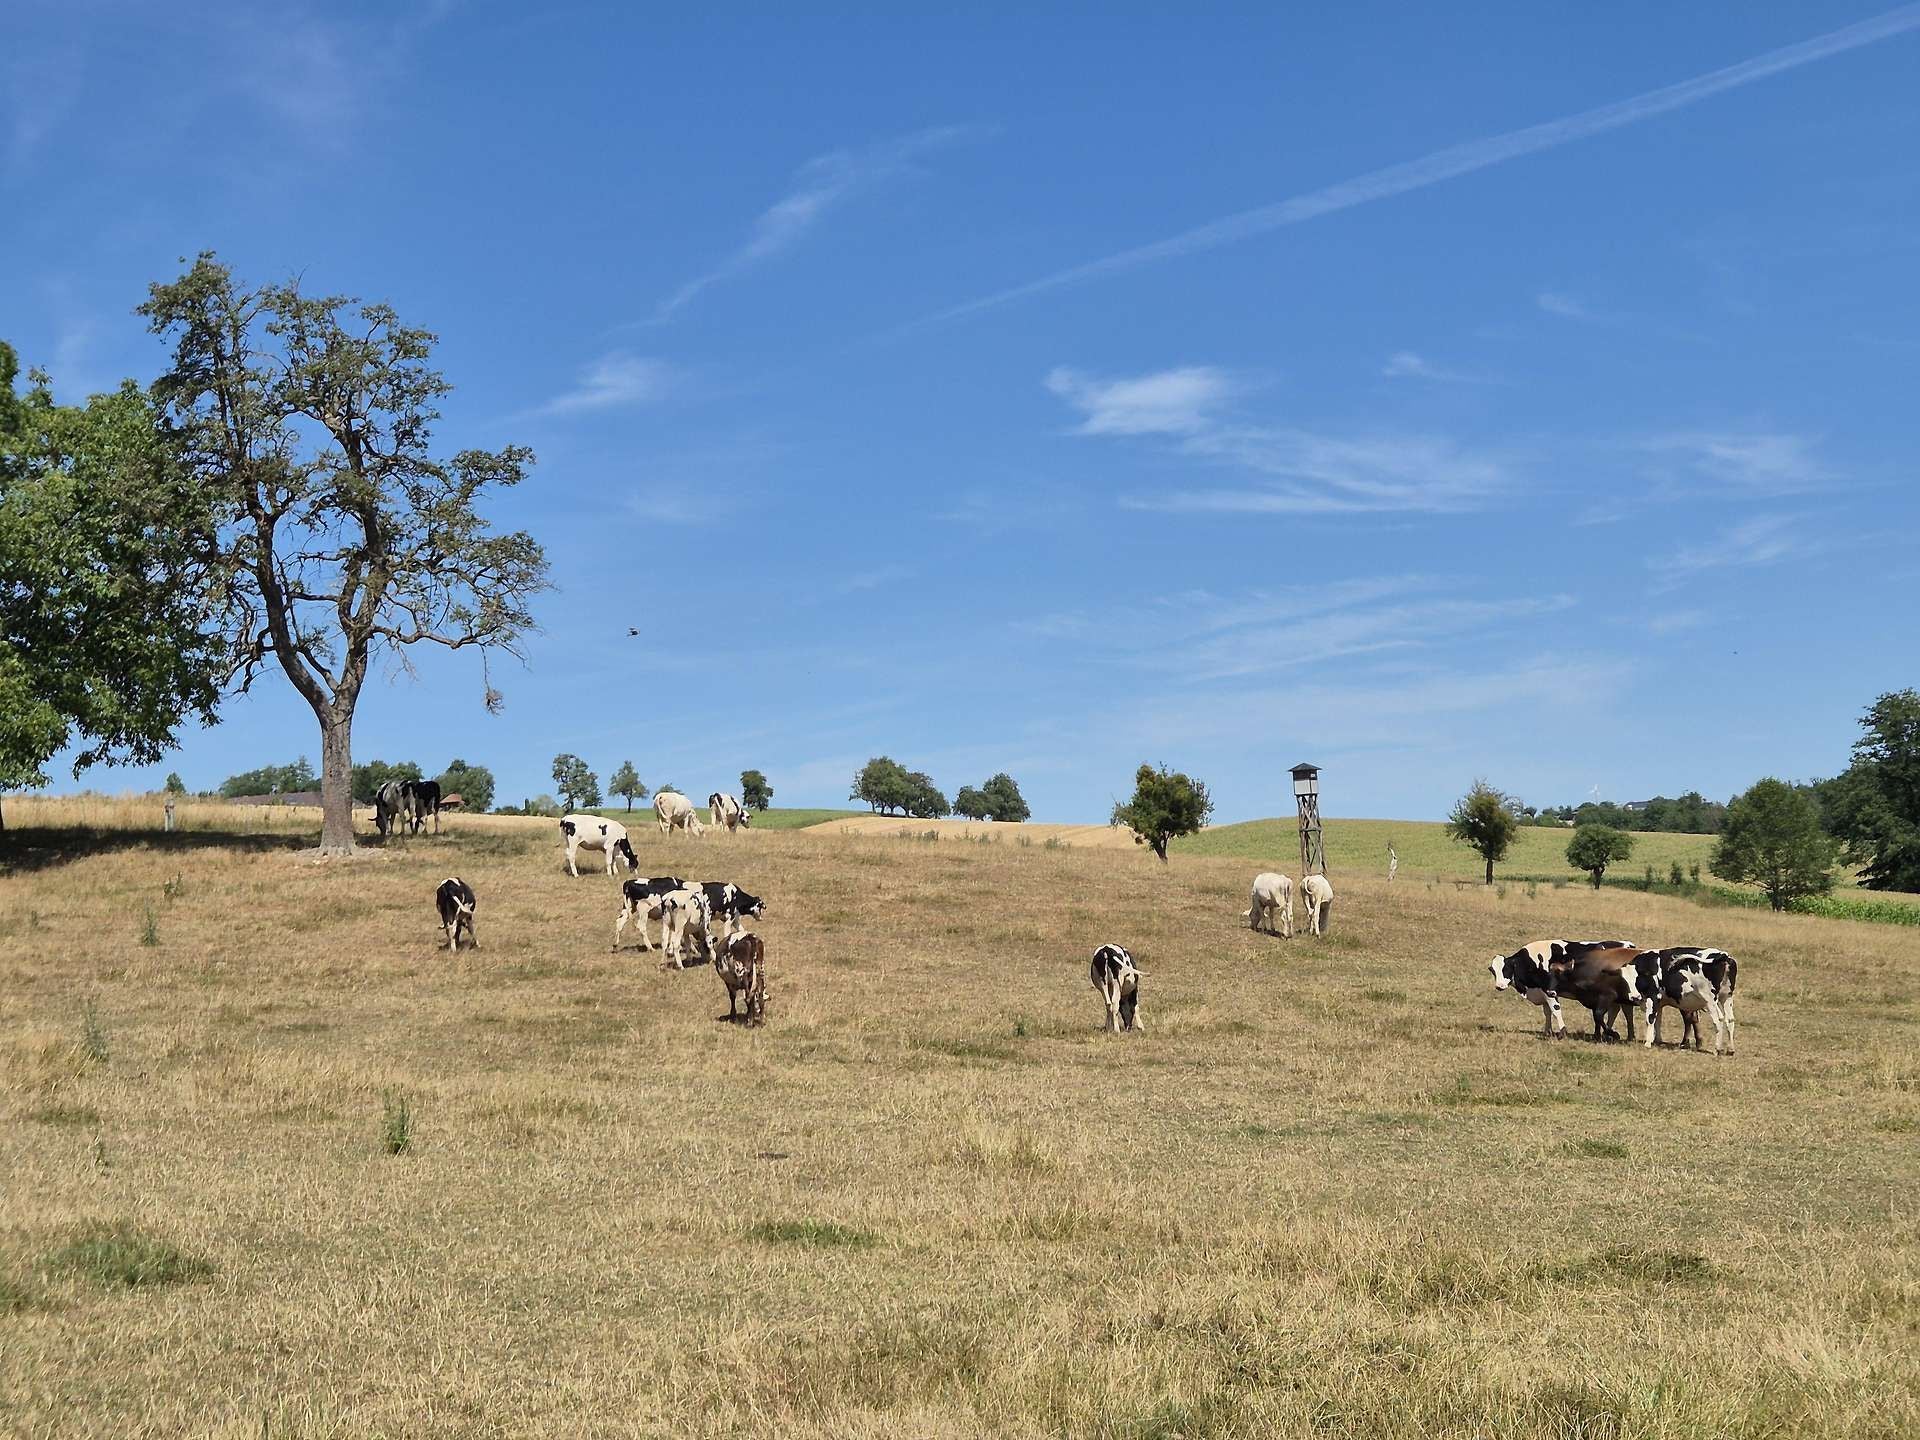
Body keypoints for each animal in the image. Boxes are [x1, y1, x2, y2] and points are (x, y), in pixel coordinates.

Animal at [1488, 939, 1636, 1039]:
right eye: (1493, 971)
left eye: (1506, 969)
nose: (1499, 986)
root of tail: (1628, 945)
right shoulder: (1543, 992)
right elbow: (1547, 1012)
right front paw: (1548, 1031)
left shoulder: (1549, 990)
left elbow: (1555, 1010)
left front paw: (1562, 1032)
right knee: (1619, 1010)